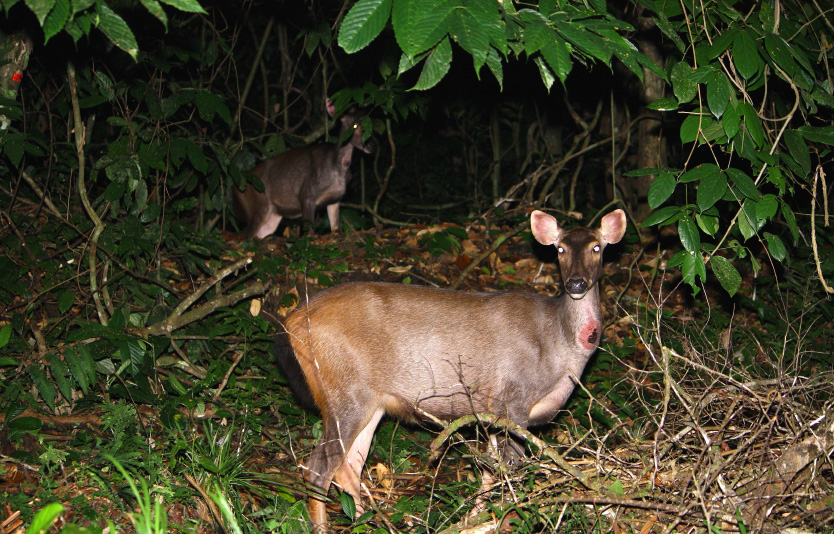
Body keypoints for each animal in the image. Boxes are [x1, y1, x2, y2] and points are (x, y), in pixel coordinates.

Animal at [234, 101, 374, 239]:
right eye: (354, 125)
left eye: (369, 124)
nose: (370, 146)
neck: (339, 169)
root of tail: (236, 189)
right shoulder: (307, 194)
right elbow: (309, 230)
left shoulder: (335, 198)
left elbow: (335, 226)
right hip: (258, 202)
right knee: (245, 235)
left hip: (274, 213)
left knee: (261, 232)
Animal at [274, 209, 627, 530]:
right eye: (560, 249)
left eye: (597, 247)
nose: (576, 283)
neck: (561, 349)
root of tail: (293, 320)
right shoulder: (513, 399)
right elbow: (509, 470)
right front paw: (506, 517)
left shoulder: (494, 409)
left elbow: (490, 471)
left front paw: (476, 518)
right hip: (344, 390)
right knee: (318, 468)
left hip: (371, 401)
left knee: (349, 466)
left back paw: (368, 520)